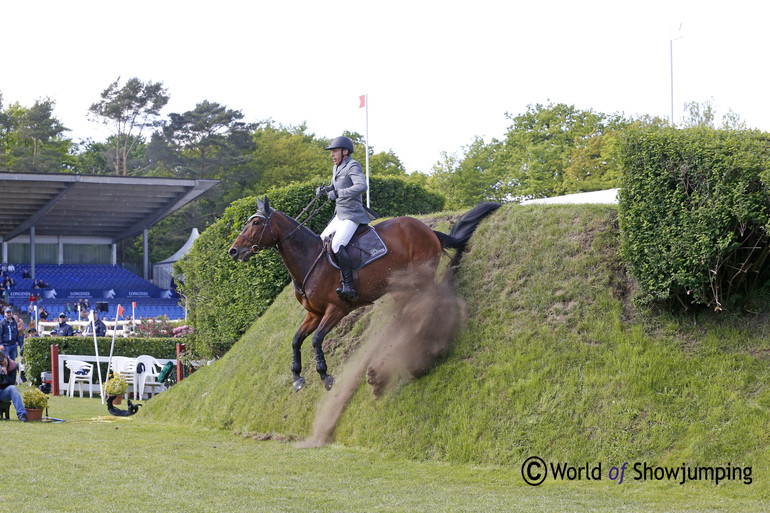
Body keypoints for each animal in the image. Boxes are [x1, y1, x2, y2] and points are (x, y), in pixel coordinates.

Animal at [226, 197, 498, 392]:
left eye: (256, 223)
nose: (233, 251)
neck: (310, 261)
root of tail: (426, 228)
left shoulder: (337, 310)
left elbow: (316, 340)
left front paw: (325, 375)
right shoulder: (314, 314)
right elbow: (296, 340)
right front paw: (297, 378)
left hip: (421, 277)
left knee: (427, 304)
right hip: (404, 284)